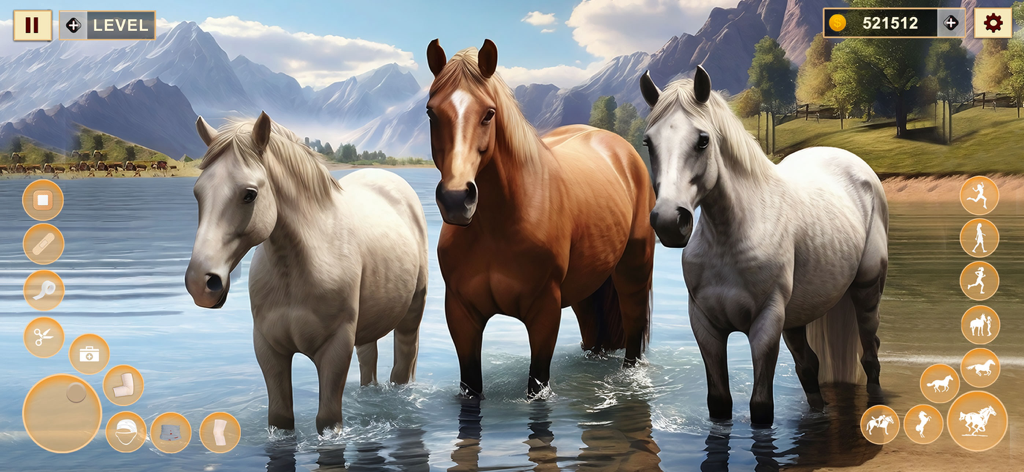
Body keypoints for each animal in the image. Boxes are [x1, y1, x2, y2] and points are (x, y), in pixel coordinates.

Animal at [184, 112, 429, 434]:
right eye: (198, 193)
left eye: (249, 195)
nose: (201, 283)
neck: (297, 272)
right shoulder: (268, 348)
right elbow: (280, 418)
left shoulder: (335, 348)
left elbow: (328, 420)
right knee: (369, 361)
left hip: (411, 314)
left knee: (403, 364)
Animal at [425, 39, 655, 399]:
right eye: (431, 112)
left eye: (489, 113)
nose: (455, 199)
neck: (498, 225)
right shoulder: (461, 314)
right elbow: (471, 389)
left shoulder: (544, 312)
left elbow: (537, 388)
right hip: (587, 284)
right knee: (594, 330)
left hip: (634, 268)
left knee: (633, 332)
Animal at [639, 66, 889, 426]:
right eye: (649, 142)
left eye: (703, 140)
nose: (670, 222)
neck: (732, 237)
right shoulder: (705, 326)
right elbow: (719, 403)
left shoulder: (765, 324)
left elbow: (761, 408)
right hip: (798, 316)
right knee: (809, 366)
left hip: (867, 289)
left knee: (870, 354)